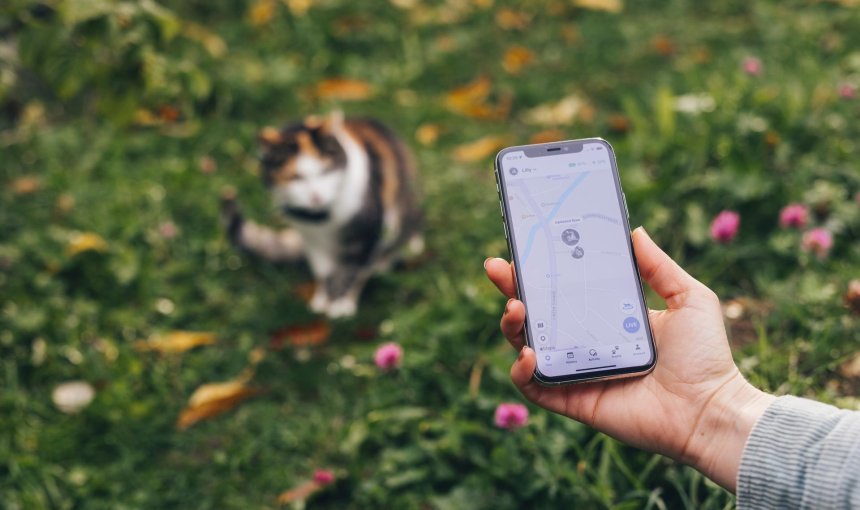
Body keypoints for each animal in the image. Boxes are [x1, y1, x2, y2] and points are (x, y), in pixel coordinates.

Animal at [222, 112, 424, 318]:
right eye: (295, 177)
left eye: (325, 171)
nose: (316, 196)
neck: (323, 218)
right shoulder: (312, 238)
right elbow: (323, 271)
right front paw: (324, 299)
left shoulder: (366, 230)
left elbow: (351, 270)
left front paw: (340, 304)